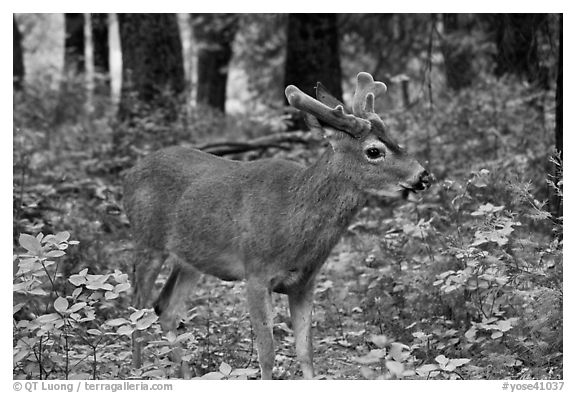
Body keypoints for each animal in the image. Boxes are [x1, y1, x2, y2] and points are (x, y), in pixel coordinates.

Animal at [125, 72, 432, 378]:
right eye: (374, 150)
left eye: (394, 138)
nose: (424, 175)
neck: (292, 222)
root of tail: (131, 173)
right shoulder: (256, 274)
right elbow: (267, 355)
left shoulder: (304, 283)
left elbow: (306, 352)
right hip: (146, 241)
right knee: (136, 310)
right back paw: (136, 370)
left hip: (190, 260)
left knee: (165, 309)